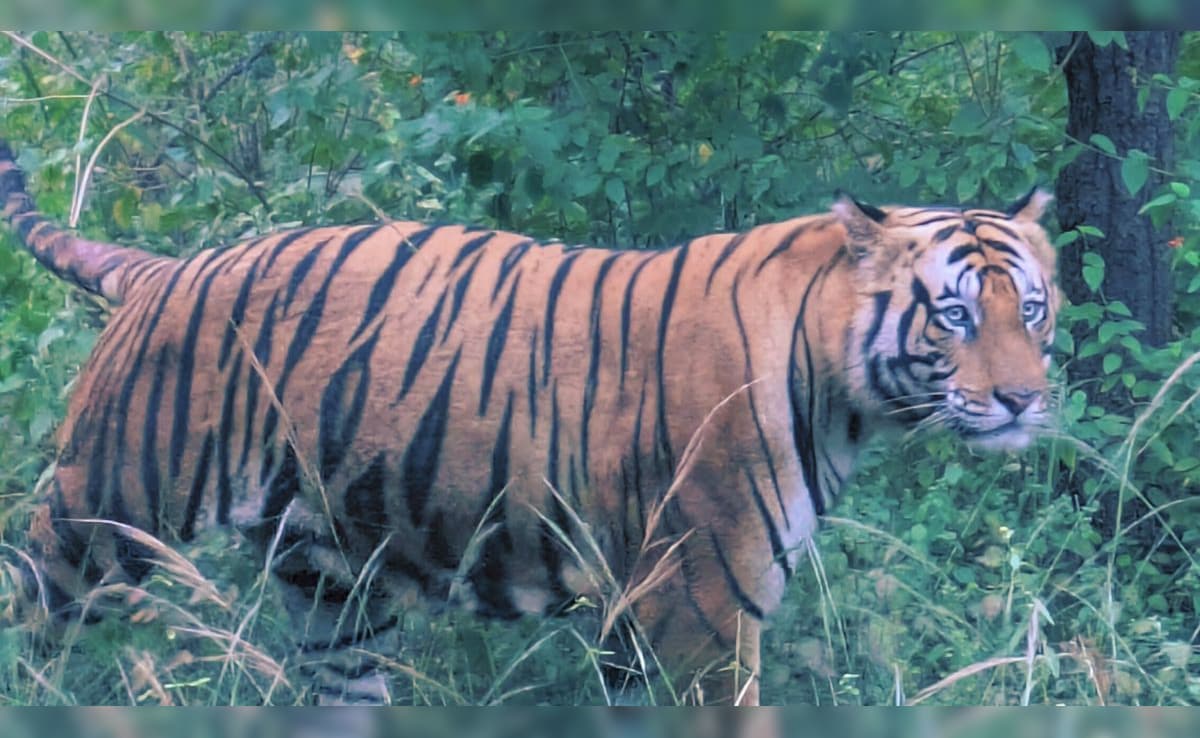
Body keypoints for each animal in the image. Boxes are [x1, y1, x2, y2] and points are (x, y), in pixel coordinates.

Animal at [0, 137, 1057, 705]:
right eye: (955, 315)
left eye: (1033, 311)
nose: (1023, 399)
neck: (843, 394)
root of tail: (164, 271)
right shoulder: (703, 610)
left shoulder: (642, 622)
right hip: (103, 519)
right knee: (33, 613)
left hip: (334, 585)